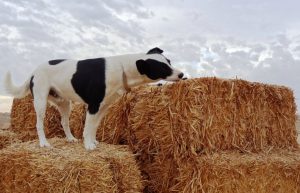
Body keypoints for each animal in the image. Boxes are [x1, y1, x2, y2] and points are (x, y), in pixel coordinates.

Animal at [3, 47, 184, 150]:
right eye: (162, 68)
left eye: (169, 61)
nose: (182, 75)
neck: (122, 68)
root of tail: (34, 71)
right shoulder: (93, 105)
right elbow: (87, 127)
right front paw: (89, 145)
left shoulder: (104, 107)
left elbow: (94, 127)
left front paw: (93, 142)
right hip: (40, 101)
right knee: (39, 124)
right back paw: (43, 143)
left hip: (64, 103)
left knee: (64, 122)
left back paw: (70, 139)